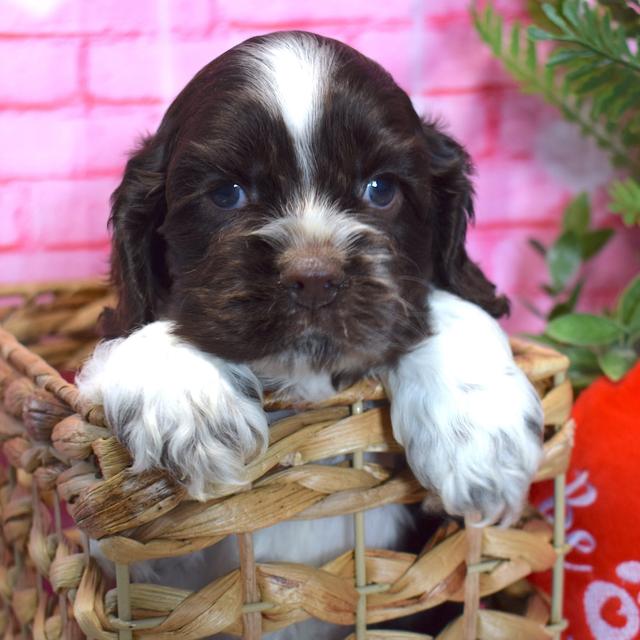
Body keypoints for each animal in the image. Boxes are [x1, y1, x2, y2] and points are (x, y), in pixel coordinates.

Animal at [77, 31, 544, 640]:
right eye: (227, 194)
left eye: (380, 189)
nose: (315, 278)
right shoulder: (136, 568)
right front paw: (186, 400)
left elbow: (439, 303)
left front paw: (482, 442)